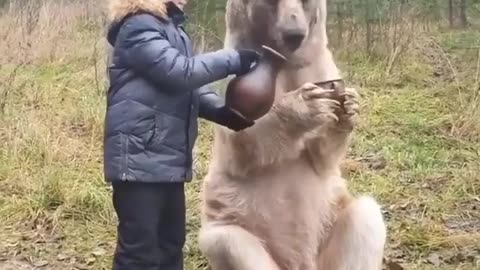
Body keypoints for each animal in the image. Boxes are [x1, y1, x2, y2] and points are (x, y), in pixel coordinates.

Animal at [197, 0, 388, 270]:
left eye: (306, 2)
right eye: (270, 2)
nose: (294, 34)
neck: (285, 63)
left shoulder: (320, 65)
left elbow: (323, 157)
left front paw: (349, 106)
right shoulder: (235, 65)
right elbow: (242, 136)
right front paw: (305, 104)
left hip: (332, 225)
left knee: (366, 215)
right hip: (236, 223)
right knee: (228, 242)